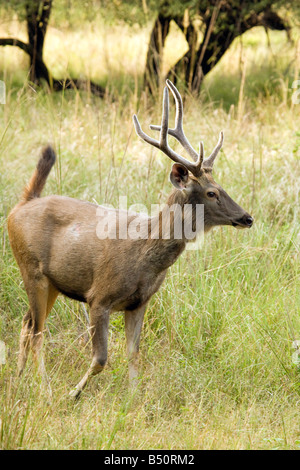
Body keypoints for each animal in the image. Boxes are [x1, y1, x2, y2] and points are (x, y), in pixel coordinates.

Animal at [7, 80, 253, 396]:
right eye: (211, 192)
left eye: (222, 186)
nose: (247, 218)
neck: (144, 255)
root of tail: (22, 204)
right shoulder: (98, 297)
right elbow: (100, 358)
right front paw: (73, 394)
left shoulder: (139, 302)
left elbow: (133, 353)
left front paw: (134, 398)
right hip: (30, 269)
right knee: (37, 331)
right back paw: (46, 388)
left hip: (52, 283)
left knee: (26, 324)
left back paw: (19, 377)